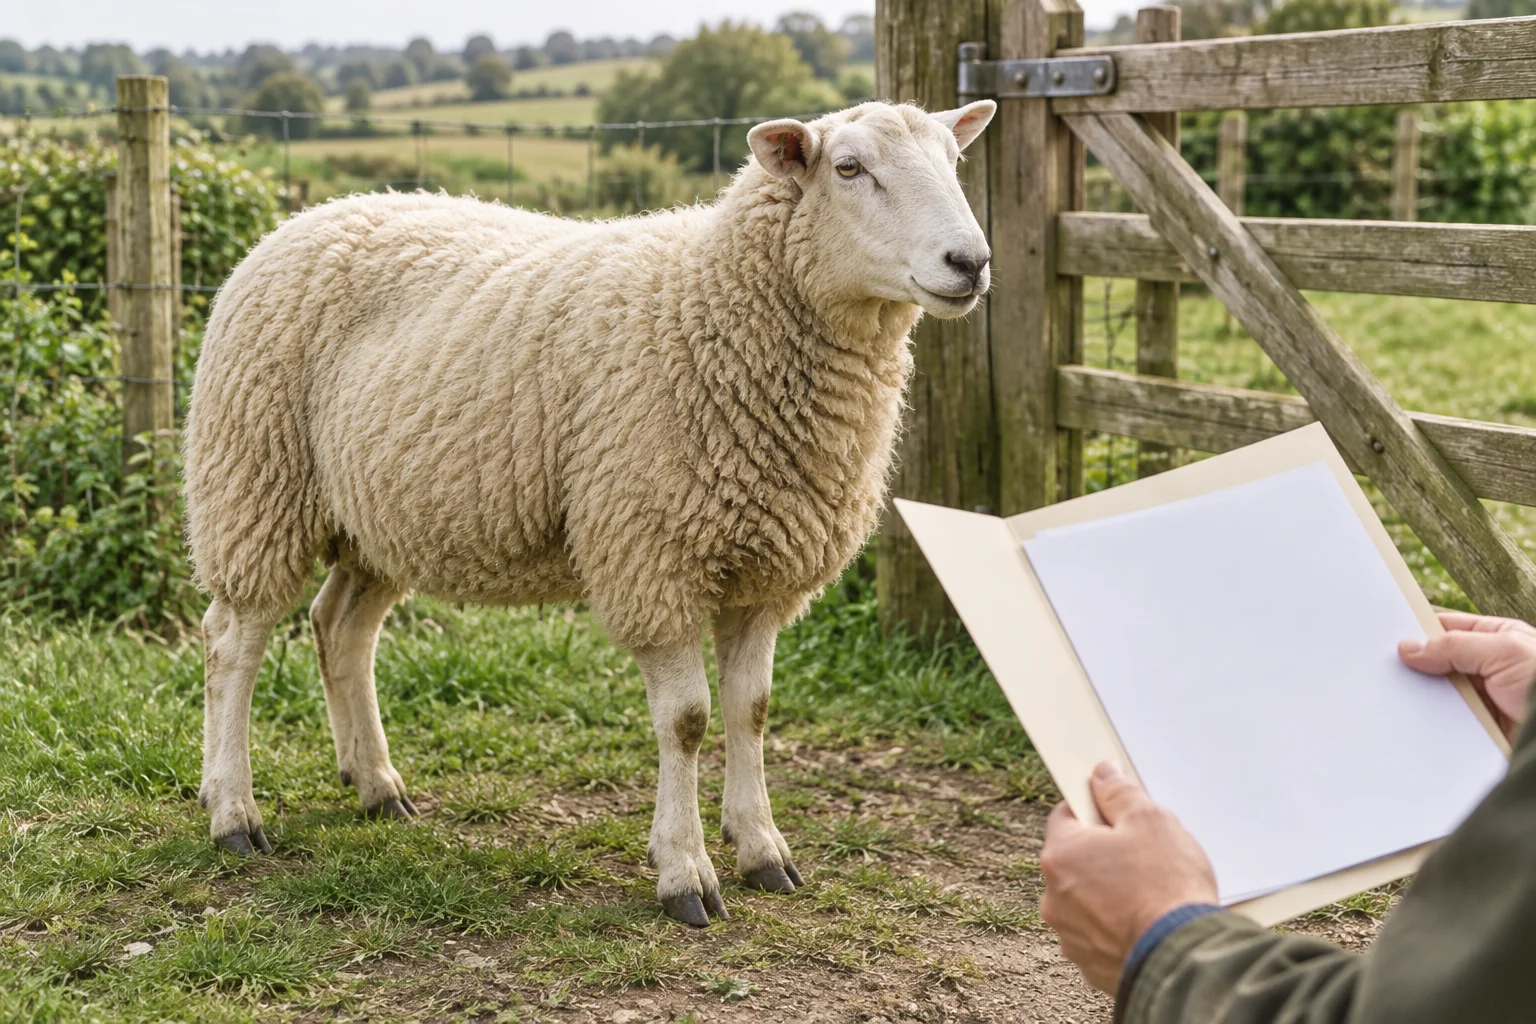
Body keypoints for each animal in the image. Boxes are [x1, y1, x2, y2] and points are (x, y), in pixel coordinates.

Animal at [183, 98, 997, 927]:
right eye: (849, 168)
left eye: (954, 160)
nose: (970, 263)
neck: (715, 306)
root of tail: (309, 216)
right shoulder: (653, 554)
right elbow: (688, 719)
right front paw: (685, 872)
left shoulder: (765, 570)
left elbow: (753, 710)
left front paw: (762, 848)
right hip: (256, 481)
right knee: (231, 641)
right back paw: (234, 813)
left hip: (382, 517)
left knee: (340, 628)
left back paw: (376, 785)